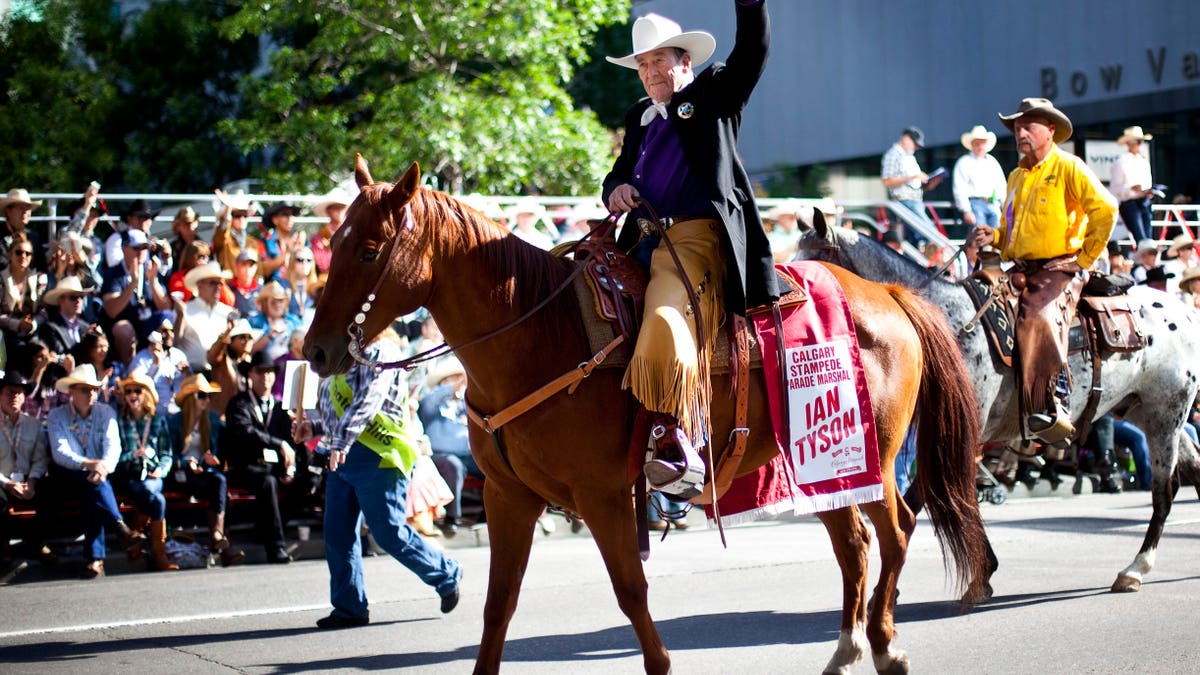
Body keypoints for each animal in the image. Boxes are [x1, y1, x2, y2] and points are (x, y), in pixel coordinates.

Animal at [302, 157, 984, 672]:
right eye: (332, 242)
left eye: (369, 250)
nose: (316, 350)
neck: (538, 334)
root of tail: (889, 293)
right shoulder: (505, 495)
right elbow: (499, 604)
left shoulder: (602, 497)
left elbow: (631, 593)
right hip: (821, 465)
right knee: (855, 546)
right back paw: (845, 651)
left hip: (875, 455)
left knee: (896, 532)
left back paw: (885, 646)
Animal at [796, 218, 1200, 590]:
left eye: (811, 269)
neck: (945, 322)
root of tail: (1185, 311)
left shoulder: (956, 434)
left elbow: (932, 498)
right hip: (1146, 411)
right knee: (1191, 470)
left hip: (1166, 414)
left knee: (1165, 490)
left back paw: (1134, 570)